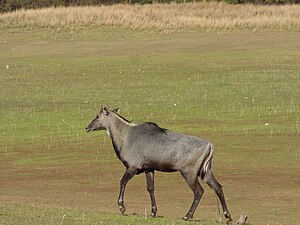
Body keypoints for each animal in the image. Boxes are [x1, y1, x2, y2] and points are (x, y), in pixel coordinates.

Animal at [85, 106, 233, 222]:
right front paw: (153, 212)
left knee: (199, 191)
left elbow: (122, 182)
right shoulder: (149, 169)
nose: (87, 127)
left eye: (97, 116)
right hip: (206, 172)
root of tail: (209, 145)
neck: (126, 136)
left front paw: (122, 207)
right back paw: (228, 216)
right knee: (218, 188)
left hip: (189, 173)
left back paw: (187, 216)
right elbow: (151, 188)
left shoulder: (132, 168)